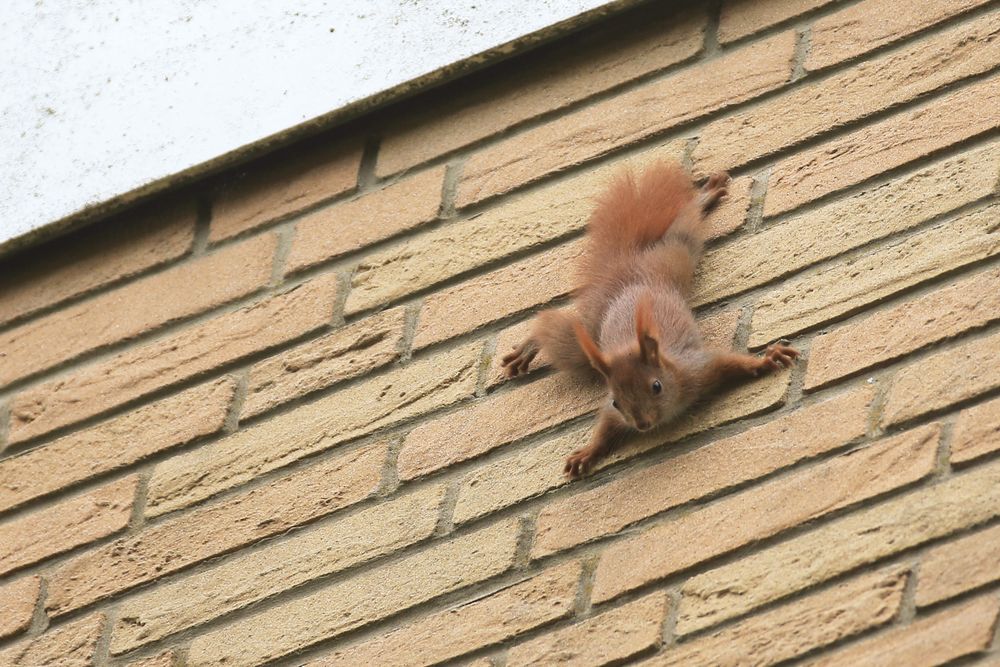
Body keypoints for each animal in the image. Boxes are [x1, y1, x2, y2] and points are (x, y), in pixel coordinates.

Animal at [501, 162, 798, 478]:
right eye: (616, 400)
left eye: (656, 387)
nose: (642, 424)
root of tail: (626, 272)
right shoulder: (615, 411)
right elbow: (605, 425)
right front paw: (587, 452)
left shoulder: (698, 368)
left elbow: (734, 362)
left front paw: (767, 359)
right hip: (591, 327)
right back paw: (528, 348)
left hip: (672, 257)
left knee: (680, 231)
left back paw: (704, 197)